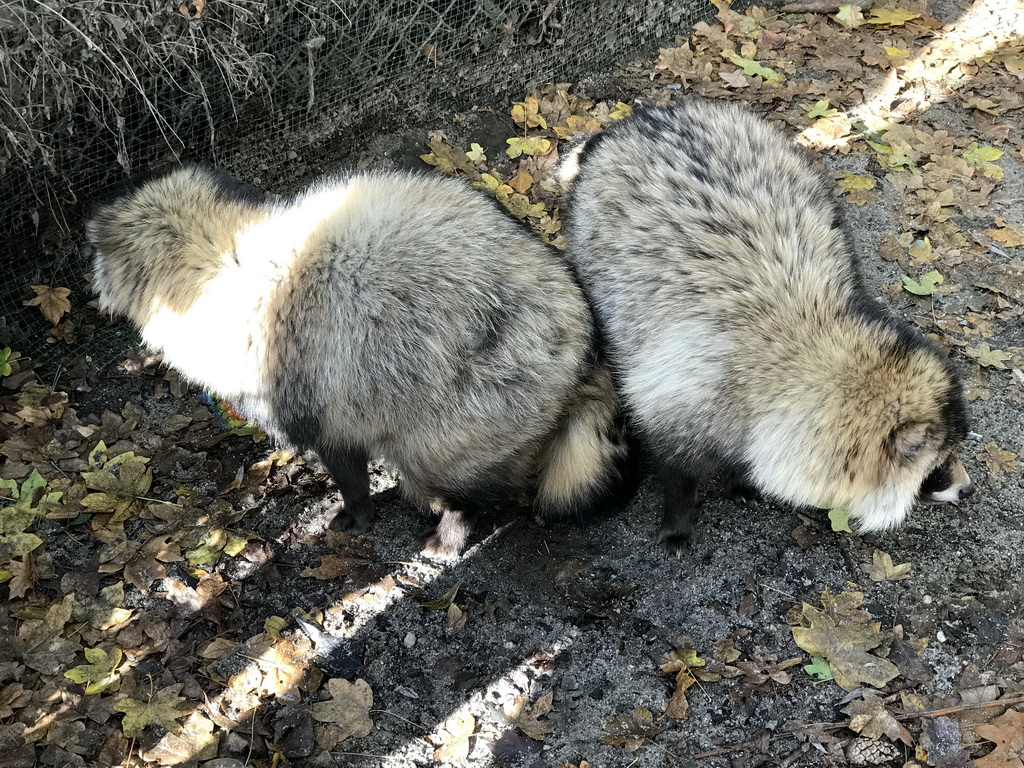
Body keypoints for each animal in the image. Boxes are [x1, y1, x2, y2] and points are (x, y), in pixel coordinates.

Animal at [88, 165, 630, 557]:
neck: (221, 256)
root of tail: (582, 333)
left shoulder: (313, 397)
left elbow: (344, 465)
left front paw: (356, 511)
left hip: (464, 417)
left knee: (461, 482)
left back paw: (450, 528)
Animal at [565, 102, 970, 557]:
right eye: (938, 467)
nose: (969, 489)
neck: (805, 343)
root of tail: (645, 117)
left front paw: (742, 477)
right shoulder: (680, 392)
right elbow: (676, 469)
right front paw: (678, 518)